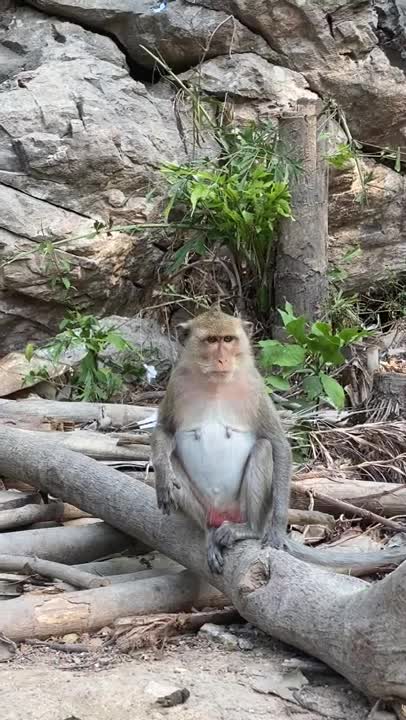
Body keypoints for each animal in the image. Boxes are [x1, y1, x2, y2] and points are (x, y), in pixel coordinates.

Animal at [151, 306, 406, 575]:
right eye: (211, 340)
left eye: (228, 339)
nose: (222, 360)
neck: (214, 385)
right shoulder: (176, 383)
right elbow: (164, 431)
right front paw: (163, 475)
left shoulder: (255, 387)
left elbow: (278, 444)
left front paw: (277, 530)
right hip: (209, 510)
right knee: (176, 461)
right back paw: (209, 531)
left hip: (245, 510)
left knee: (263, 449)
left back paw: (250, 529)